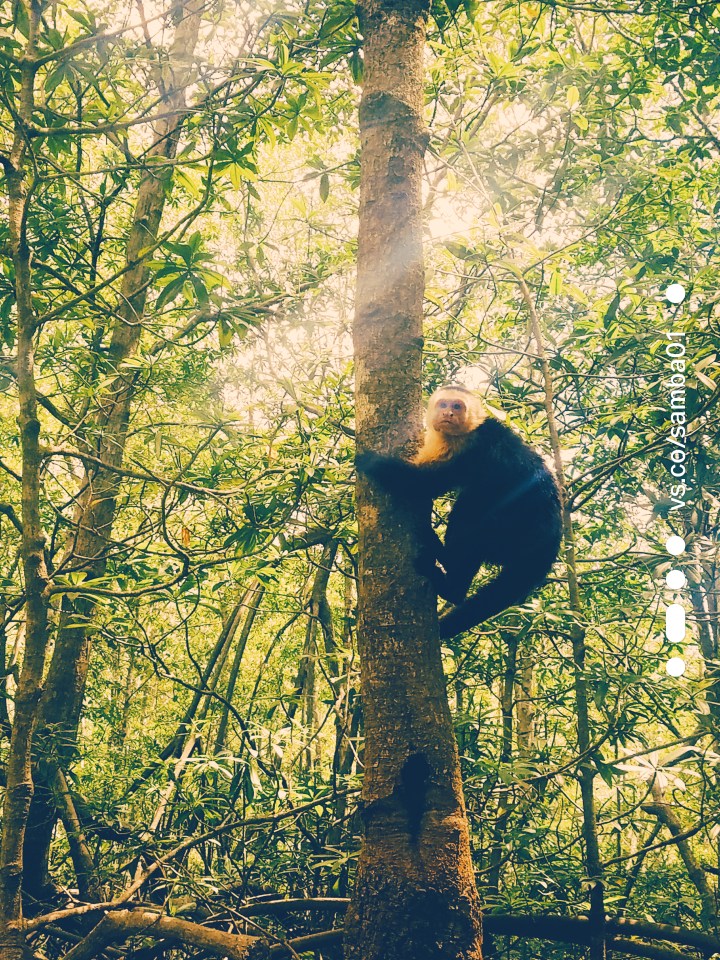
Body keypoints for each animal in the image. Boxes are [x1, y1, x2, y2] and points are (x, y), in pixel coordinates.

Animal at [354, 382, 564, 636]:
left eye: (457, 406)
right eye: (443, 404)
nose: (448, 414)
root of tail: (551, 544)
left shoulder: (469, 448)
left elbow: (422, 485)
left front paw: (370, 462)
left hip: (516, 527)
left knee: (470, 512)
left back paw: (450, 582)